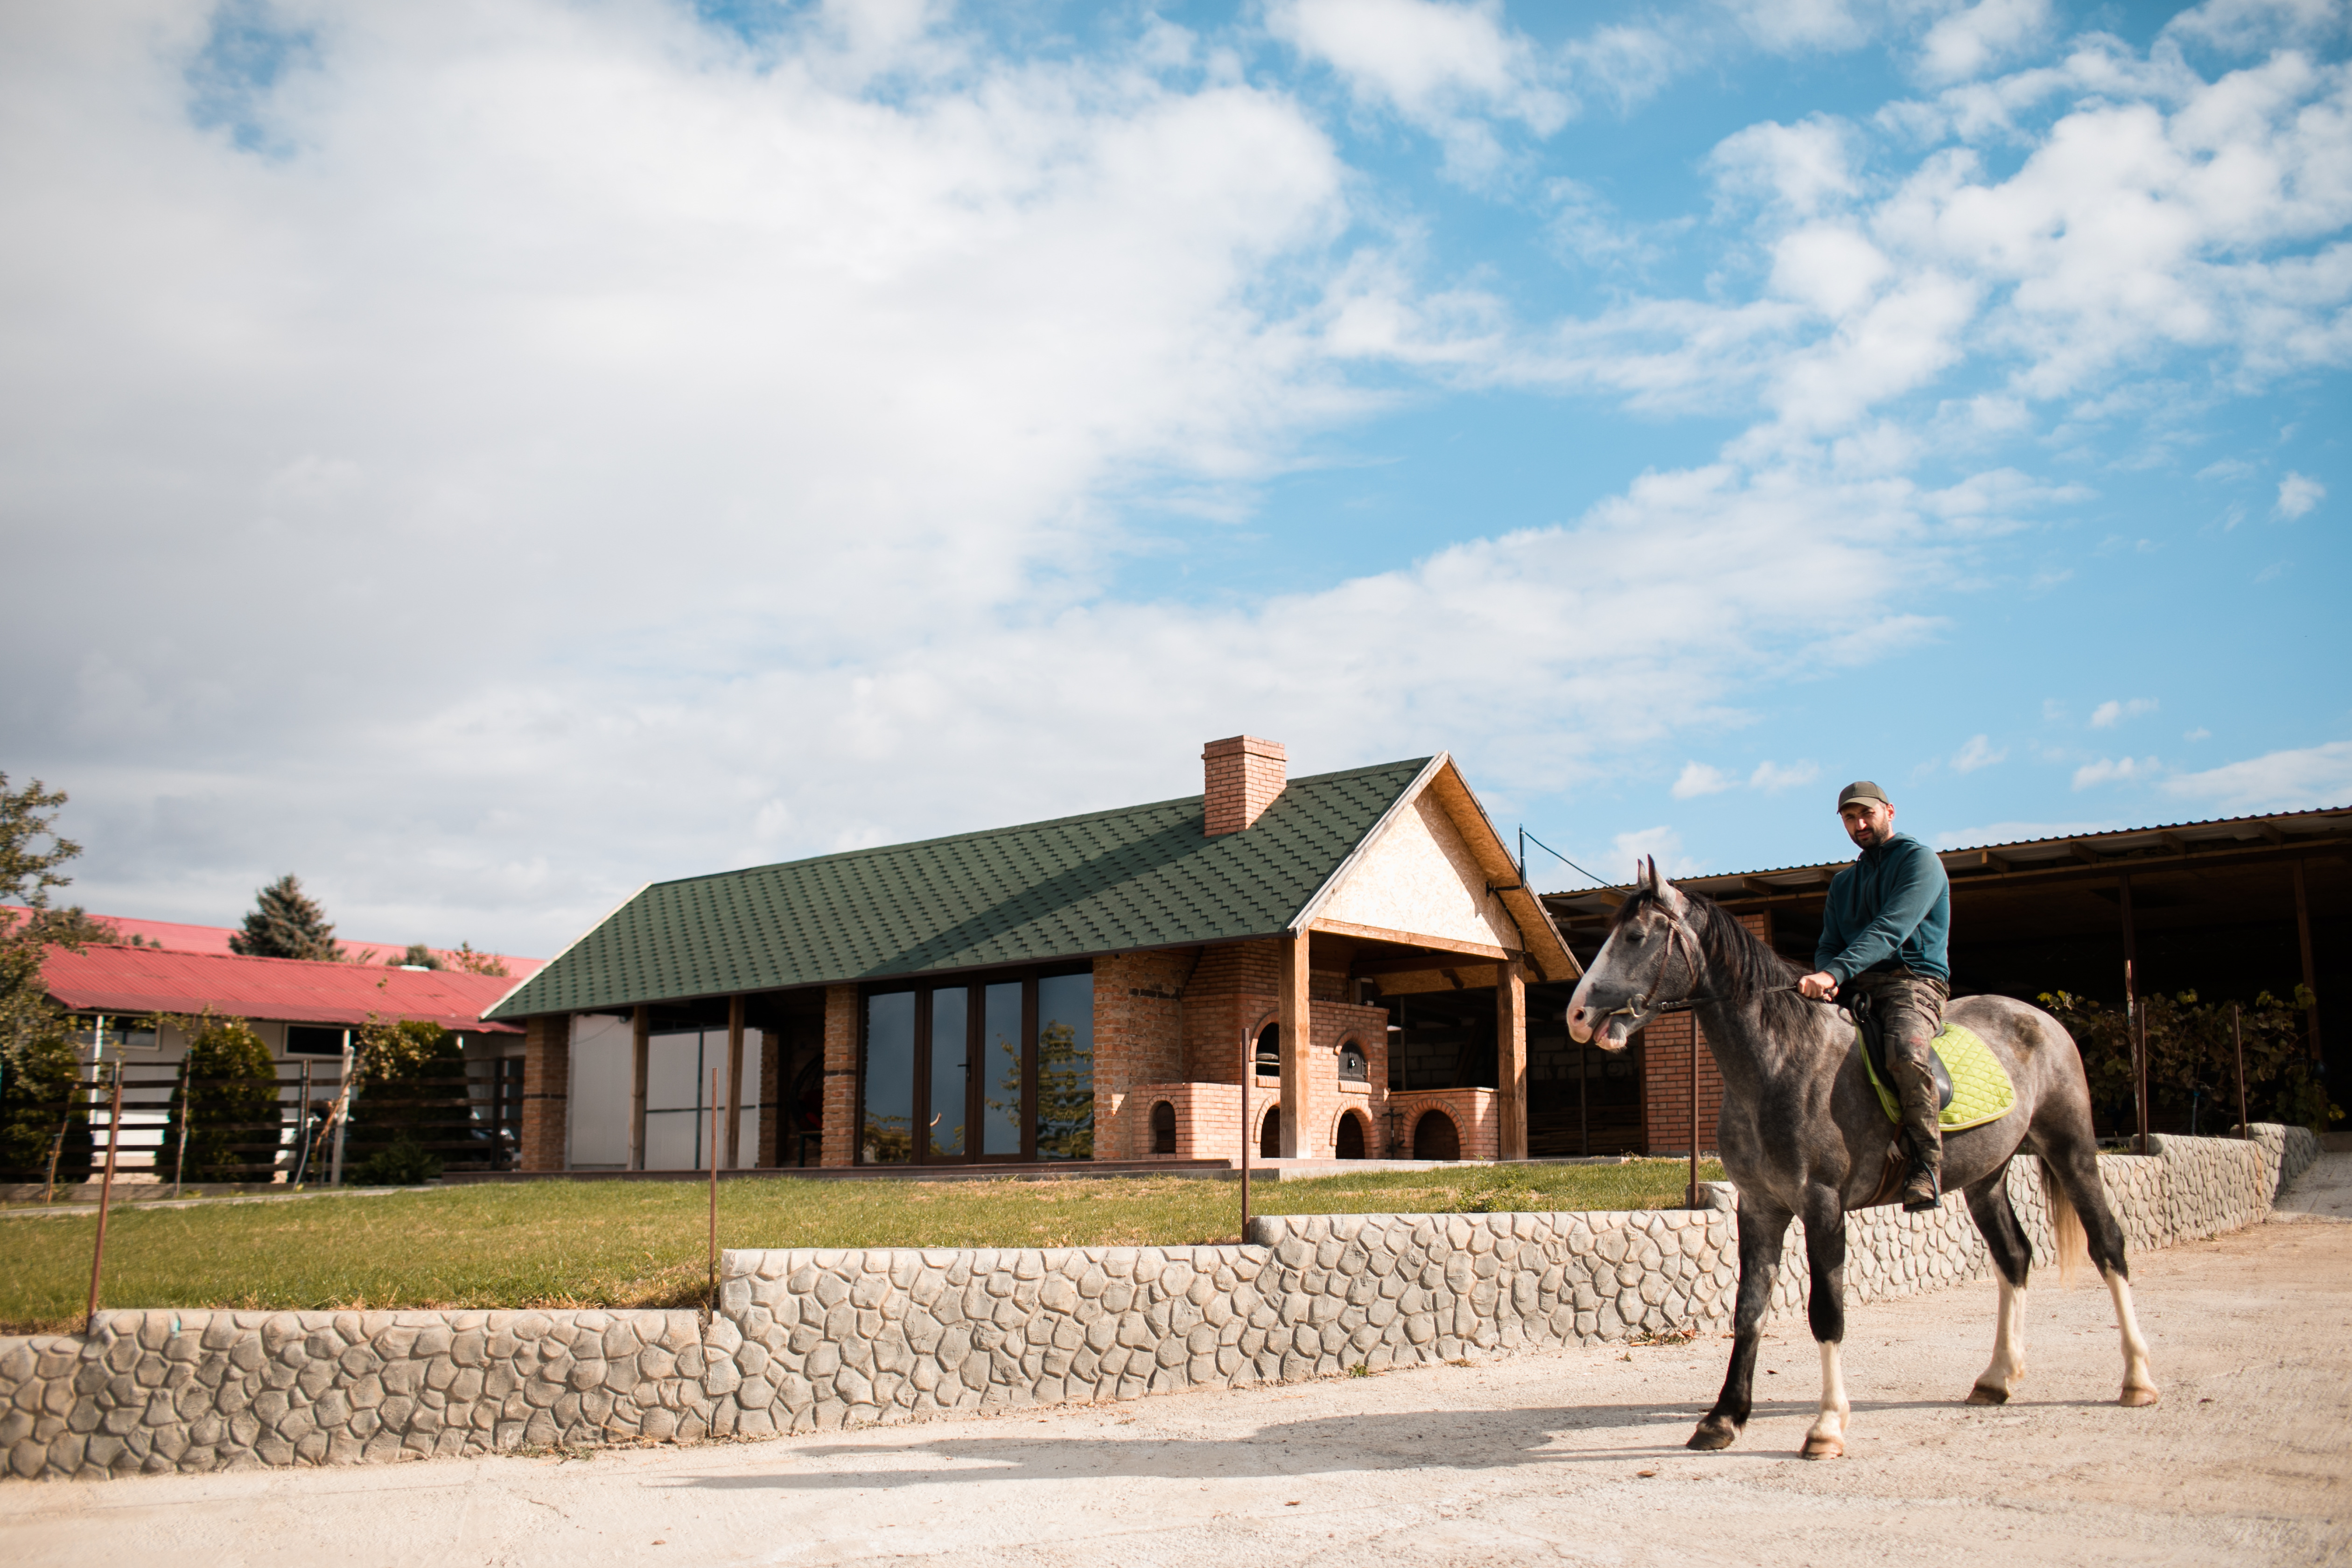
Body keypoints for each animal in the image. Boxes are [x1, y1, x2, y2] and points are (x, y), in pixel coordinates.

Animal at [1571, 860, 2154, 1457]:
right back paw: (1997, 1379)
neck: (1780, 1063)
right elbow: (1749, 1310)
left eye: (1635, 937)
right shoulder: (1759, 1207)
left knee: (2109, 1246)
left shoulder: (1822, 1206)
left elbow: (1827, 1312)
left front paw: (1827, 1425)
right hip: (1986, 1179)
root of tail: (2041, 1018)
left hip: (2071, 1150)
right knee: (2014, 1257)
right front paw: (1724, 1418)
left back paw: (2136, 1378)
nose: (1578, 1015)